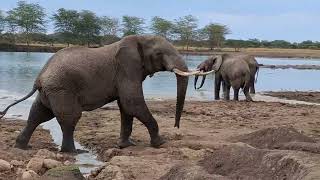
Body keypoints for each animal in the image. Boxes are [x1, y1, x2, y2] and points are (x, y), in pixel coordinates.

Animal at [0, 34, 200, 152]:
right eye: (158, 53)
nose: (176, 127)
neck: (137, 38)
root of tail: (39, 76)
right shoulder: (126, 69)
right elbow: (132, 102)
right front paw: (161, 143)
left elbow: (126, 107)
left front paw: (126, 146)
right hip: (62, 88)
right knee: (70, 117)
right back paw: (73, 152)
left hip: (51, 90)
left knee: (38, 114)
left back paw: (21, 146)